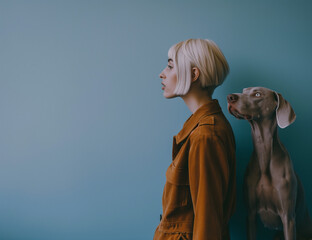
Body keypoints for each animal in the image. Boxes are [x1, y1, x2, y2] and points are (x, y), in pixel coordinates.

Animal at [227, 86, 312, 240]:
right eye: (243, 91)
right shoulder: (250, 215)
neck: (264, 153)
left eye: (257, 94)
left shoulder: (288, 217)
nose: (230, 97)